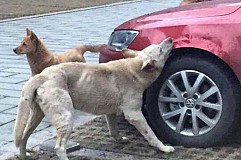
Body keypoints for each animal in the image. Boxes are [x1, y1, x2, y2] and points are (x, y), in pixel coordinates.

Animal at [14, 37, 173, 160]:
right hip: (65, 116)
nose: (170, 39)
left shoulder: (110, 112)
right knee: (59, 147)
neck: (135, 68)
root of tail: (42, 75)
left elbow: (113, 130)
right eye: (160, 49)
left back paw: (23, 155)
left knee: (23, 137)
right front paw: (163, 147)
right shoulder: (134, 114)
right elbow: (151, 134)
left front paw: (119, 139)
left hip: (36, 116)